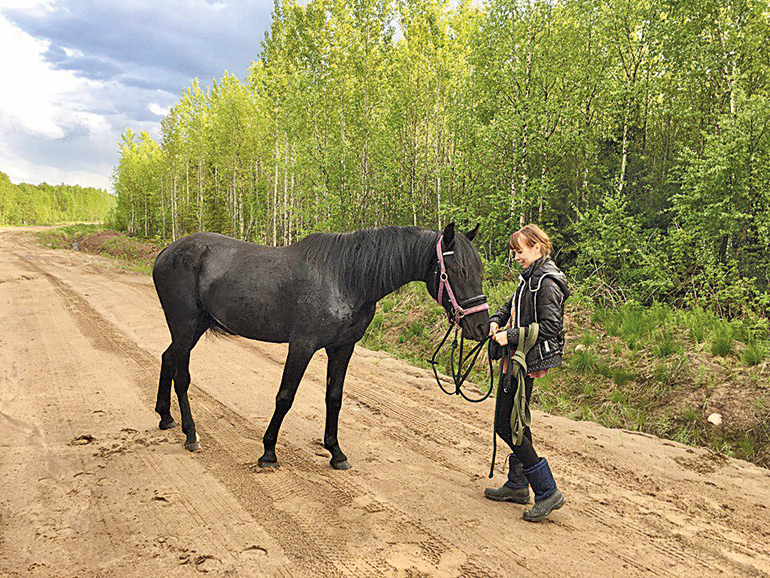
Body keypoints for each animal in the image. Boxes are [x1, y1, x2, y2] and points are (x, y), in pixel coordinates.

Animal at [152, 220, 486, 468]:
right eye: (455, 272)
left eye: (479, 271)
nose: (481, 326)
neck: (345, 278)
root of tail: (167, 251)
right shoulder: (302, 345)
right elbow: (285, 397)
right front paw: (268, 452)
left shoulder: (343, 348)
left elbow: (334, 398)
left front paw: (336, 453)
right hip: (185, 326)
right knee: (182, 375)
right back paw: (191, 434)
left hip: (192, 329)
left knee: (167, 357)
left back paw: (166, 417)